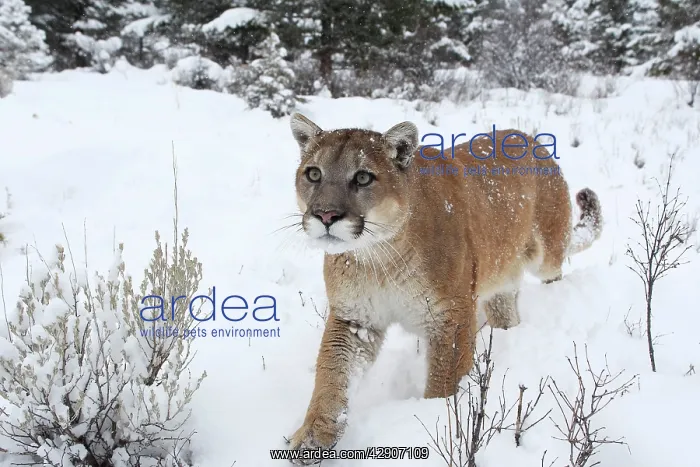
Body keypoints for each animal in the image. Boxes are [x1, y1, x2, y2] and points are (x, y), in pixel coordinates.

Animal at [285, 113, 602, 463]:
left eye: (364, 178)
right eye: (314, 173)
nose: (325, 214)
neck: (379, 257)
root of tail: (532, 139)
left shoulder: (450, 317)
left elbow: (443, 382)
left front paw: (437, 426)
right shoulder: (355, 319)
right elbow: (332, 376)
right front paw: (313, 438)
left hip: (547, 253)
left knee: (554, 272)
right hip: (500, 282)